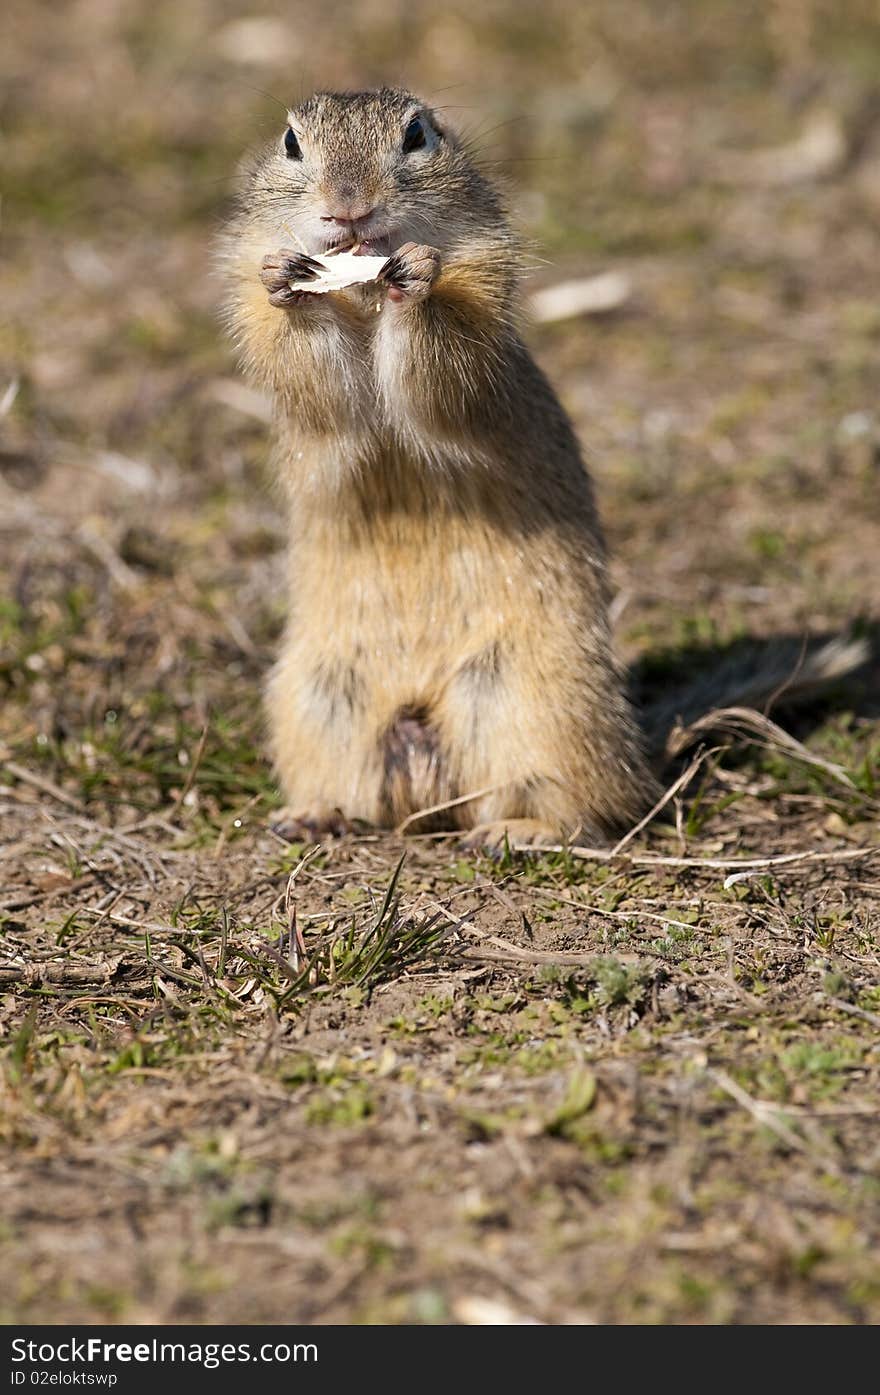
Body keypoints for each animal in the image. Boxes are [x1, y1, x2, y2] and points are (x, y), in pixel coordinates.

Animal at [217, 92, 864, 848]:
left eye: (417, 134)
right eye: (292, 142)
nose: (348, 207)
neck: (362, 296)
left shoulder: (480, 304)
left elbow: (444, 370)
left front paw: (418, 277)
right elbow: (314, 381)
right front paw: (284, 284)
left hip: (537, 706)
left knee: (587, 809)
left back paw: (516, 830)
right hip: (316, 702)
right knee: (367, 798)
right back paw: (311, 814)